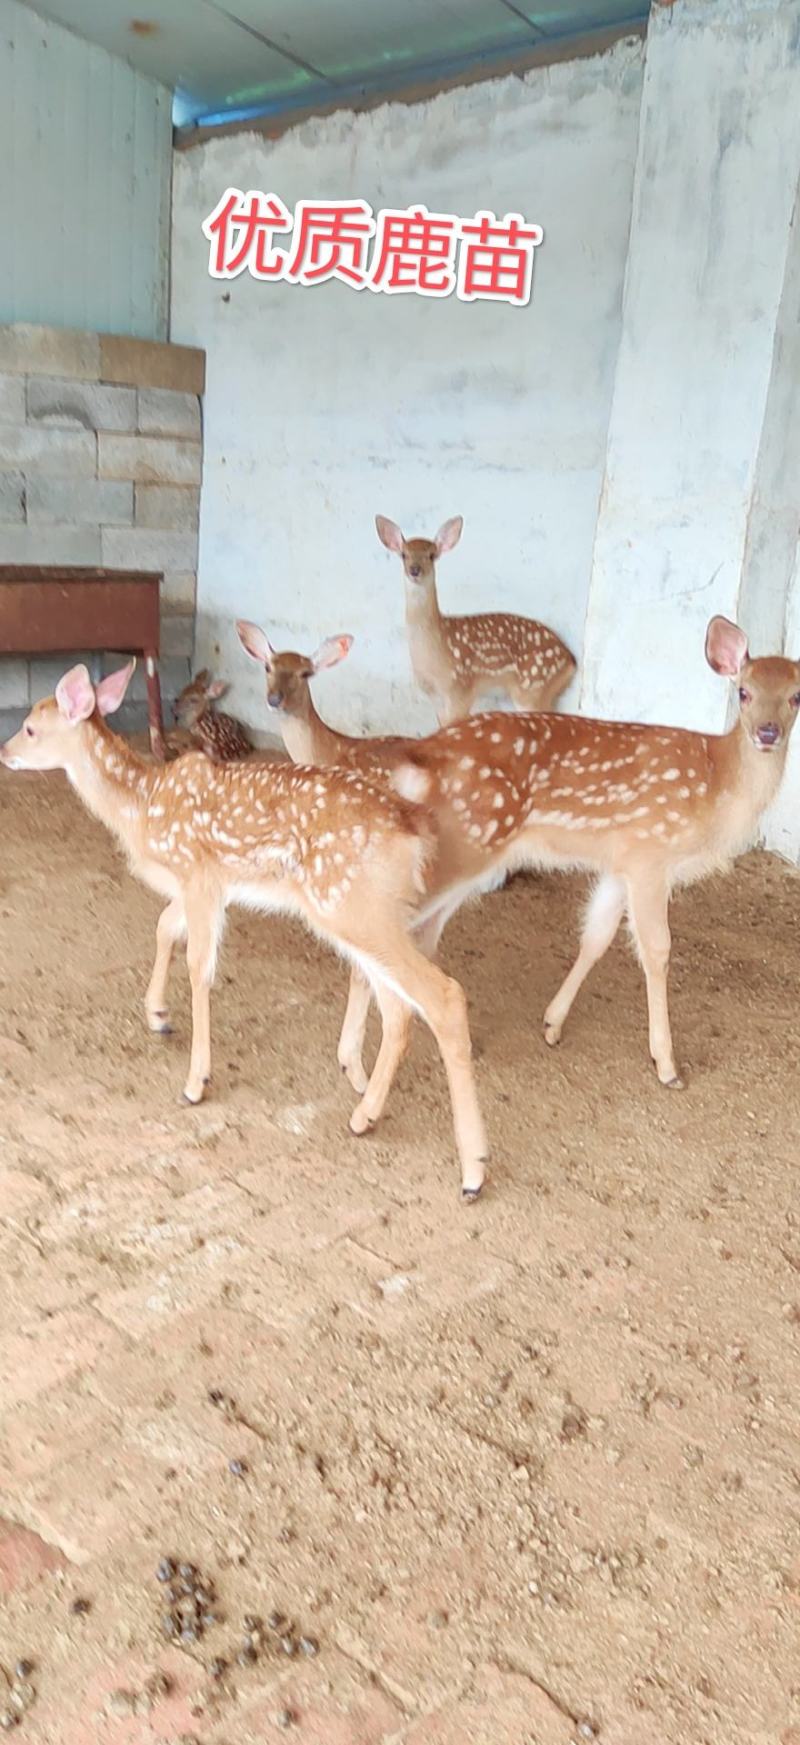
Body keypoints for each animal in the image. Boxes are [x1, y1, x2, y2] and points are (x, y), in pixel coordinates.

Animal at [0, 661, 490, 1200]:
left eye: (30, 727)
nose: (4, 752)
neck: (141, 806)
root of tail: (414, 828)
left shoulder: (197, 872)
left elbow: (198, 965)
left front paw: (196, 1081)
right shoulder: (202, 885)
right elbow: (164, 927)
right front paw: (157, 1015)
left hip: (351, 905)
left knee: (442, 995)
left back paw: (473, 1170)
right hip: (362, 913)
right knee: (400, 1006)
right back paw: (365, 1113)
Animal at [239, 614, 800, 1102]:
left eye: (795, 696)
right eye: (744, 691)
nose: (767, 732)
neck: (715, 788)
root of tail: (422, 755)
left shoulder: (620, 862)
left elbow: (595, 936)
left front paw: (552, 1023)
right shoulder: (650, 853)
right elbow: (658, 951)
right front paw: (667, 1064)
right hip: (460, 844)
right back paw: (358, 1065)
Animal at [375, 513, 576, 725]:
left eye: (431, 555)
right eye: (403, 554)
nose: (414, 570)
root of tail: (570, 659)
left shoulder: (460, 687)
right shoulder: (435, 697)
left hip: (533, 685)